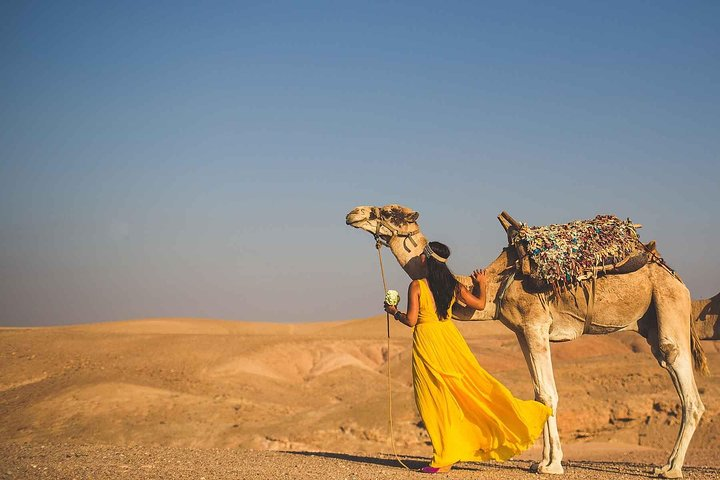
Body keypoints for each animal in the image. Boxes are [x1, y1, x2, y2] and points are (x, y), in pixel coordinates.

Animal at [346, 204, 708, 479]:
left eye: (390, 212)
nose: (354, 213)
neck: (496, 283)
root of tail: (678, 279)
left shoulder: (536, 325)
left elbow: (548, 394)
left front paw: (552, 465)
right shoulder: (522, 332)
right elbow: (539, 394)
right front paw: (541, 461)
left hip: (668, 305)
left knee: (687, 386)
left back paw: (670, 469)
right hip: (650, 321)